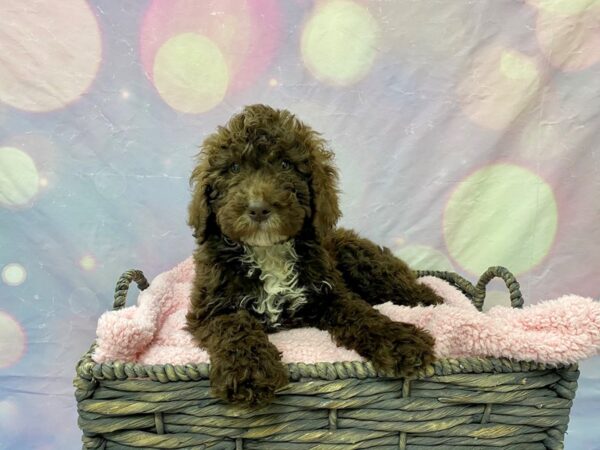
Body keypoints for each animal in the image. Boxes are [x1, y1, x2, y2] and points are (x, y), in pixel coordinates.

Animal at [185, 103, 442, 406]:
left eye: (285, 165)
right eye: (234, 168)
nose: (258, 209)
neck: (268, 252)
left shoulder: (330, 292)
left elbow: (362, 314)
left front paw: (400, 342)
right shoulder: (212, 307)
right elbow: (235, 328)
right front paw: (250, 372)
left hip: (363, 261)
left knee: (407, 286)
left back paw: (431, 300)